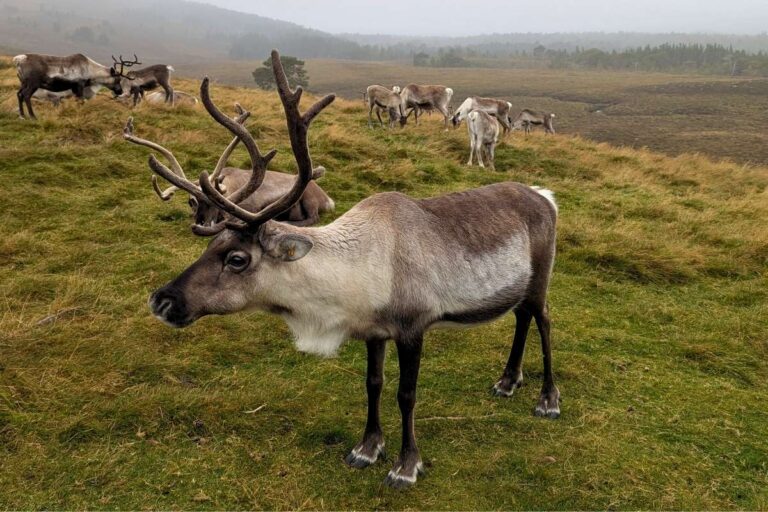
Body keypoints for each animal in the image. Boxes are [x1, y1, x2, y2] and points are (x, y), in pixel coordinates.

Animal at [123, 104, 334, 230]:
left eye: (217, 201)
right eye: (191, 201)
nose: (202, 223)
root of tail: (328, 199)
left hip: (308, 197)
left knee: (313, 218)